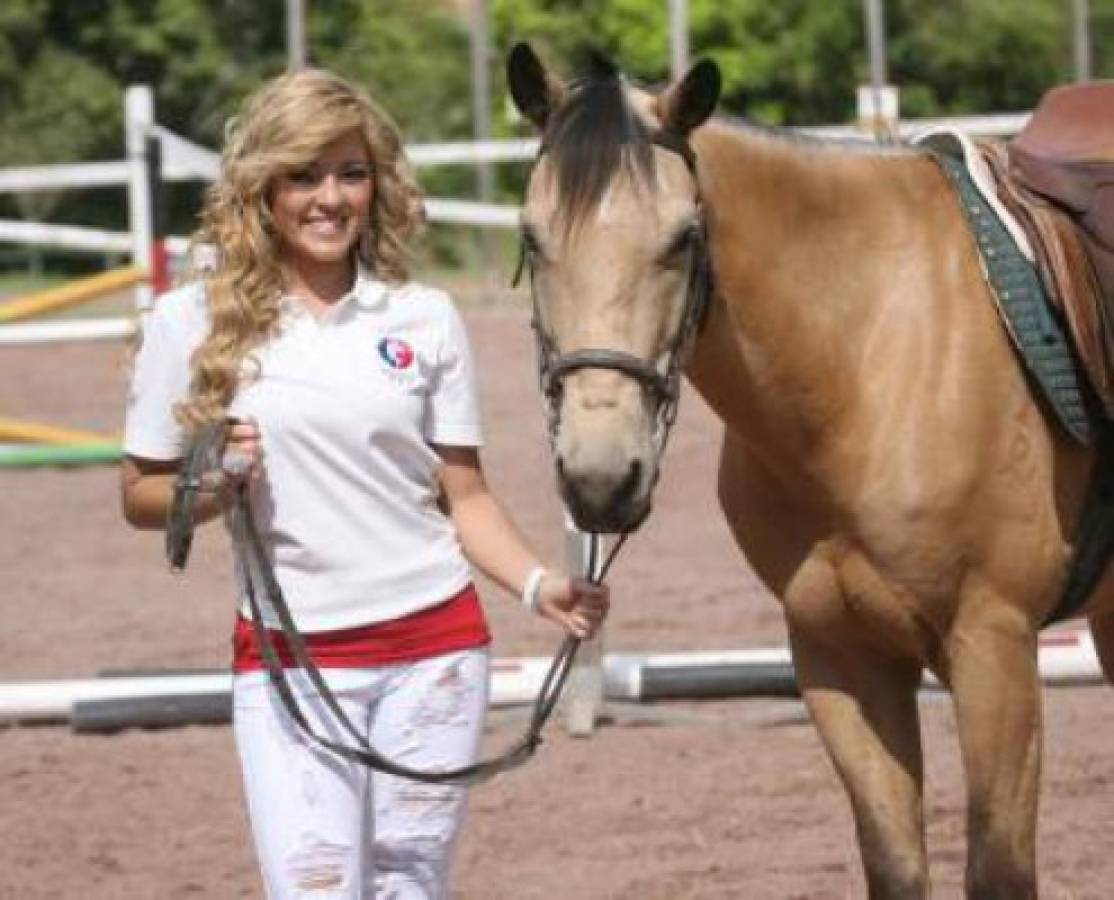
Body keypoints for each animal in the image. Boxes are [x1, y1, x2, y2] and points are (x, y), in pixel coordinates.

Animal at [510, 43, 1114, 900]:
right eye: (532, 239)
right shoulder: (838, 654)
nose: (601, 478)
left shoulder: (994, 646)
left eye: (684, 238)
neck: (866, 360)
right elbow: (894, 864)